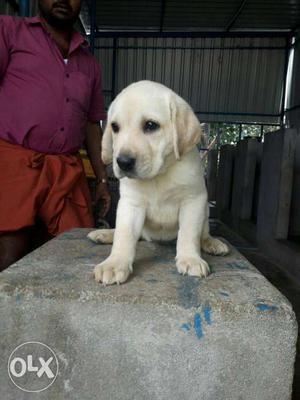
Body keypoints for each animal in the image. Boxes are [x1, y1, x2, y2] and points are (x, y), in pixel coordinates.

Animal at [88, 80, 229, 284]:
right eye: (114, 127)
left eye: (150, 125)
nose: (123, 162)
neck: (158, 174)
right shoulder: (131, 204)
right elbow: (125, 234)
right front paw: (114, 263)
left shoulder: (193, 200)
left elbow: (189, 233)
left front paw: (190, 259)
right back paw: (104, 234)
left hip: (205, 211)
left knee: (203, 232)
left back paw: (212, 243)